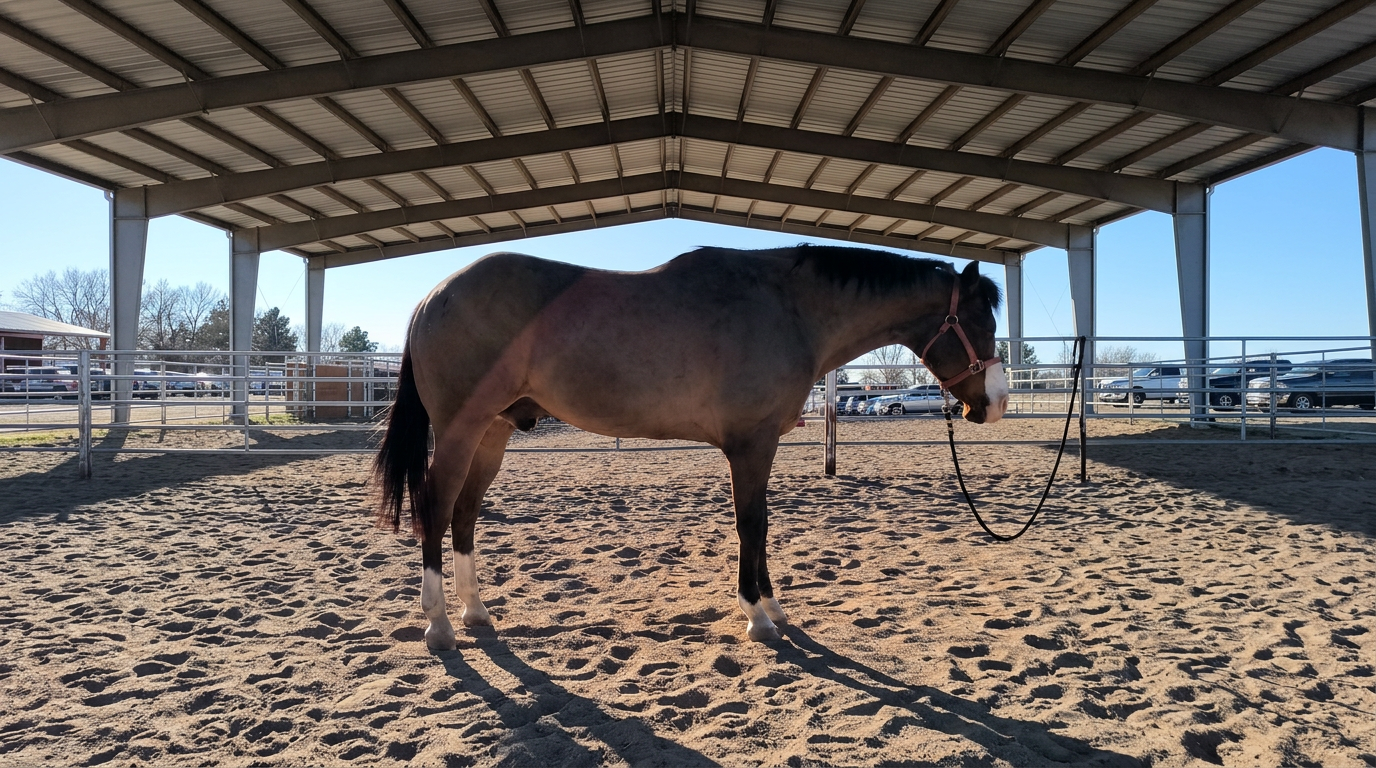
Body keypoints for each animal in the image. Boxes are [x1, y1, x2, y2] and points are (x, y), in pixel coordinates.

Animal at [374, 244, 1008, 648]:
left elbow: (763, 523)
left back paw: (476, 612)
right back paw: (439, 627)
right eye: (980, 320)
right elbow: (751, 524)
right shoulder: (750, 445)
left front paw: (772, 606)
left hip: (493, 432)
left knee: (463, 513)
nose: (997, 402)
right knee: (436, 507)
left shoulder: (760, 446)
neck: (789, 308)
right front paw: (757, 617)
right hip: (461, 429)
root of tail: (433, 296)